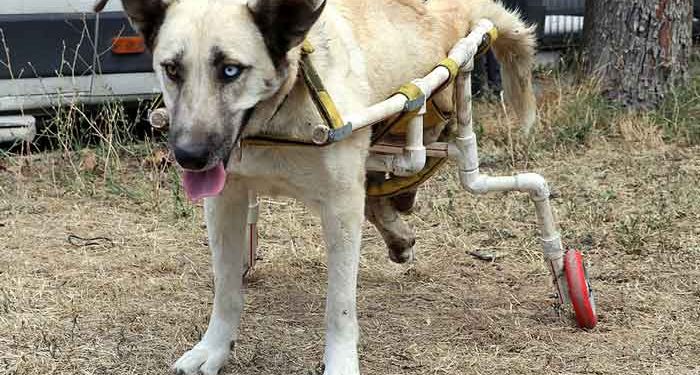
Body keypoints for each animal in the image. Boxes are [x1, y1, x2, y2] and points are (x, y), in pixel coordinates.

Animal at [98, 1, 536, 374]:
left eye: (230, 70)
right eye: (172, 69)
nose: (189, 156)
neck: (277, 116)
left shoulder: (340, 207)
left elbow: (339, 306)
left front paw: (340, 362)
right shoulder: (225, 201)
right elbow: (226, 288)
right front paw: (214, 348)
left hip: (434, 108)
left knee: (409, 165)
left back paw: (401, 208)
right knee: (379, 189)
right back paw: (397, 228)